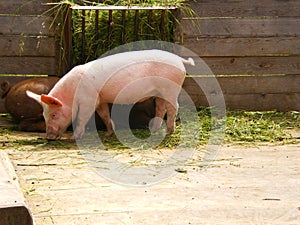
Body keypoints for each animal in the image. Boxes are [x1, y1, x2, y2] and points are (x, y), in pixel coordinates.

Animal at [26, 50, 195, 140]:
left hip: (171, 89)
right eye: (44, 115)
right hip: (160, 92)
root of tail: (179, 59)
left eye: (54, 115)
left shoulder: (88, 100)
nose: (48, 137)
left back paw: (168, 132)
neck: (72, 92)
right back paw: (153, 130)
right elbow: (104, 114)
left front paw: (74, 138)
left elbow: (82, 118)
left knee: (173, 107)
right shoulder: (100, 100)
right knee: (161, 107)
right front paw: (108, 134)